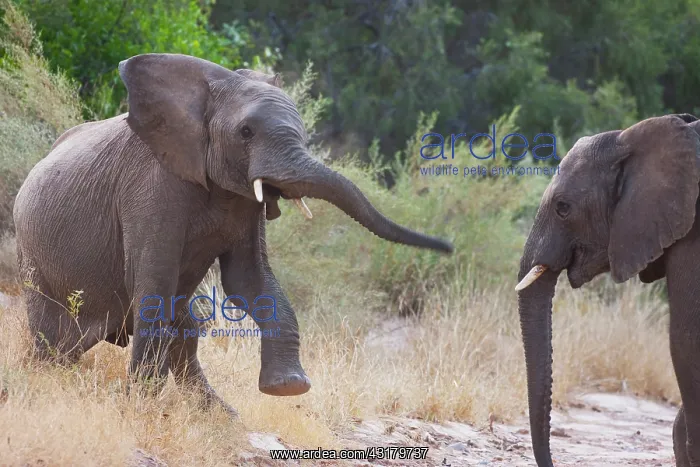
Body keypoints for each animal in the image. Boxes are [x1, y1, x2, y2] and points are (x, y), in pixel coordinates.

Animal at [12, 53, 453, 415]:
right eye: (245, 132)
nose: (447, 246)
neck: (208, 89)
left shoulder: (245, 205)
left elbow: (248, 278)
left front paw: (288, 388)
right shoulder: (152, 185)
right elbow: (153, 279)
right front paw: (139, 408)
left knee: (185, 326)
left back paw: (221, 416)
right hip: (31, 254)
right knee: (55, 336)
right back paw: (47, 379)